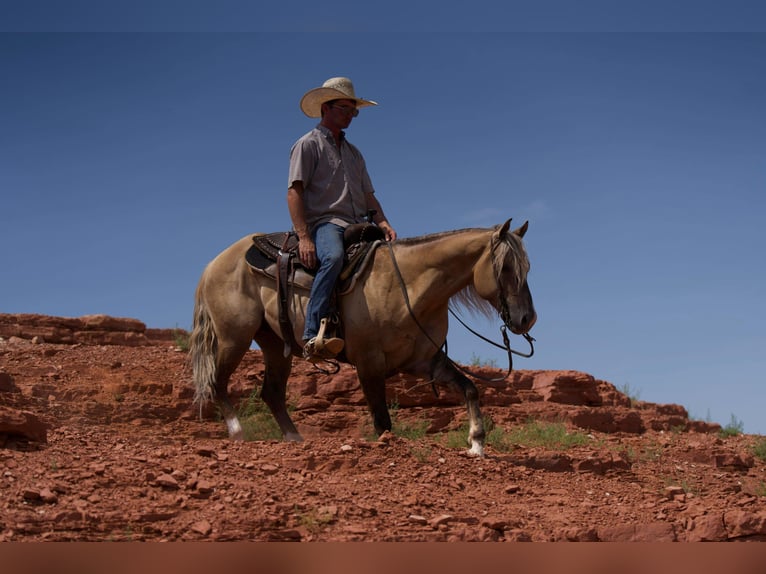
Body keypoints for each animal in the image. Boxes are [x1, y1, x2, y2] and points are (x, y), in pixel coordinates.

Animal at [189, 218, 536, 456]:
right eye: (505, 267)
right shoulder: (369, 362)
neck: (408, 285)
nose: (527, 318)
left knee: (272, 392)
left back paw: (294, 438)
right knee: (217, 381)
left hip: (275, 344)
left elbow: (470, 388)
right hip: (234, 337)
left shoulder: (425, 361)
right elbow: (382, 420)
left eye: (527, 267)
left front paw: (476, 444)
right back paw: (237, 431)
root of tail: (214, 263)